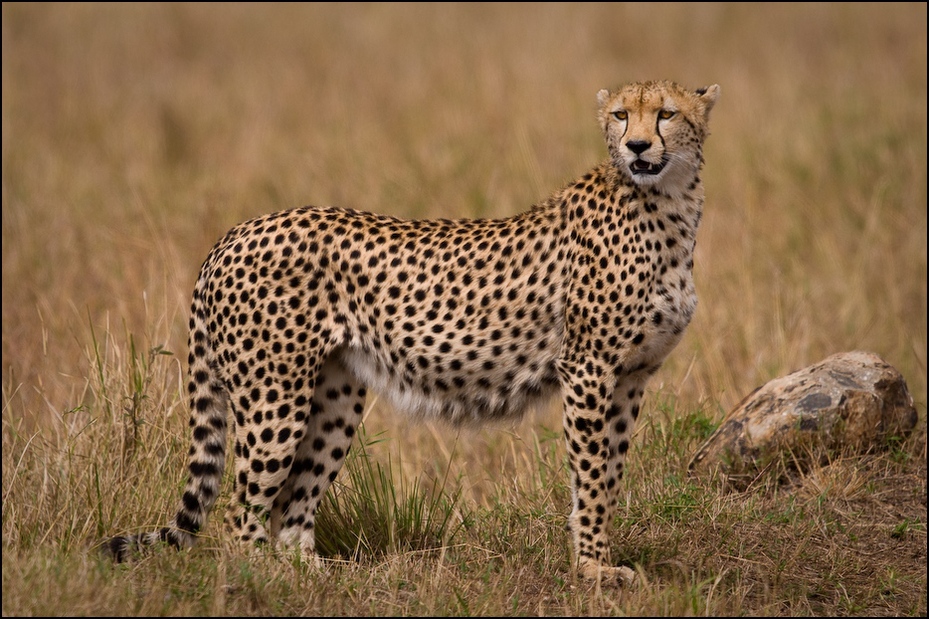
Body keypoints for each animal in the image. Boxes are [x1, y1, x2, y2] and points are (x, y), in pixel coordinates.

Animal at [105, 78, 720, 588]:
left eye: (665, 114)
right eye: (621, 114)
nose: (637, 147)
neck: (669, 206)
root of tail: (234, 232)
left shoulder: (631, 377)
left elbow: (609, 473)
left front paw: (598, 558)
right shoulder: (590, 370)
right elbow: (592, 478)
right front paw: (593, 569)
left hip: (334, 396)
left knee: (292, 506)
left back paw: (315, 574)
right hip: (273, 398)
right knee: (242, 516)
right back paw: (264, 578)